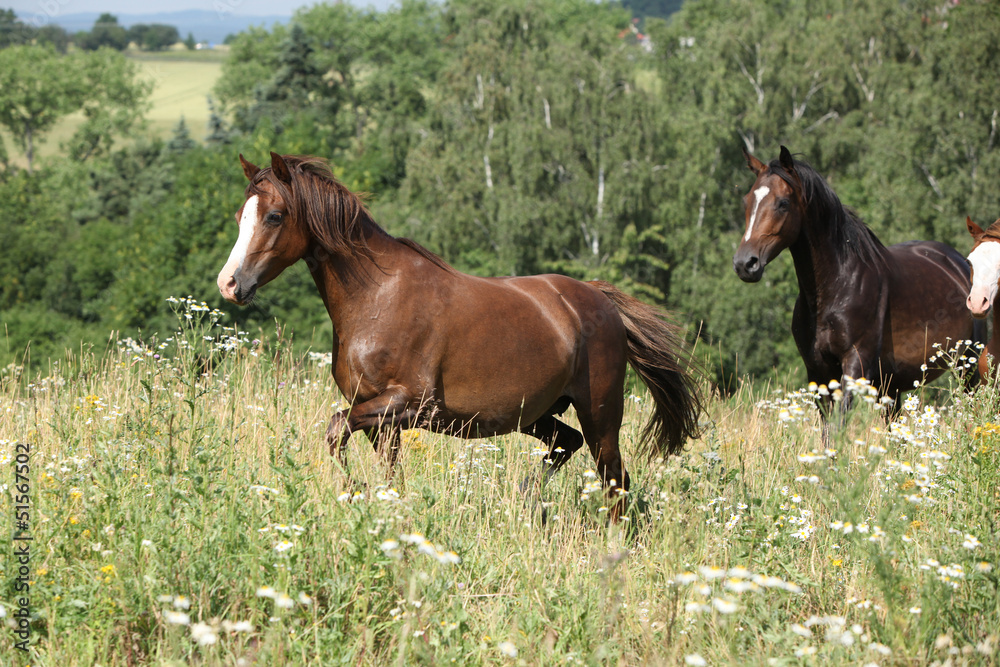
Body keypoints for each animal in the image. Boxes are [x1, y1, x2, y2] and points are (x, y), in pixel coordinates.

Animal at [216, 152, 702, 514]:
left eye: (275, 216)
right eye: (241, 215)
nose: (229, 284)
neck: (377, 295)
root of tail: (600, 299)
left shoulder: (409, 404)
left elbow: (335, 430)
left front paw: (357, 490)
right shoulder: (379, 419)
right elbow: (384, 470)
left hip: (600, 413)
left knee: (613, 479)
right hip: (536, 415)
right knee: (569, 445)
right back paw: (526, 495)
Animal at [732, 146, 985, 412]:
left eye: (782, 203)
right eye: (747, 201)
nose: (745, 263)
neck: (835, 288)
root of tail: (958, 263)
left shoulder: (855, 363)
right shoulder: (817, 370)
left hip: (967, 367)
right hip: (890, 387)